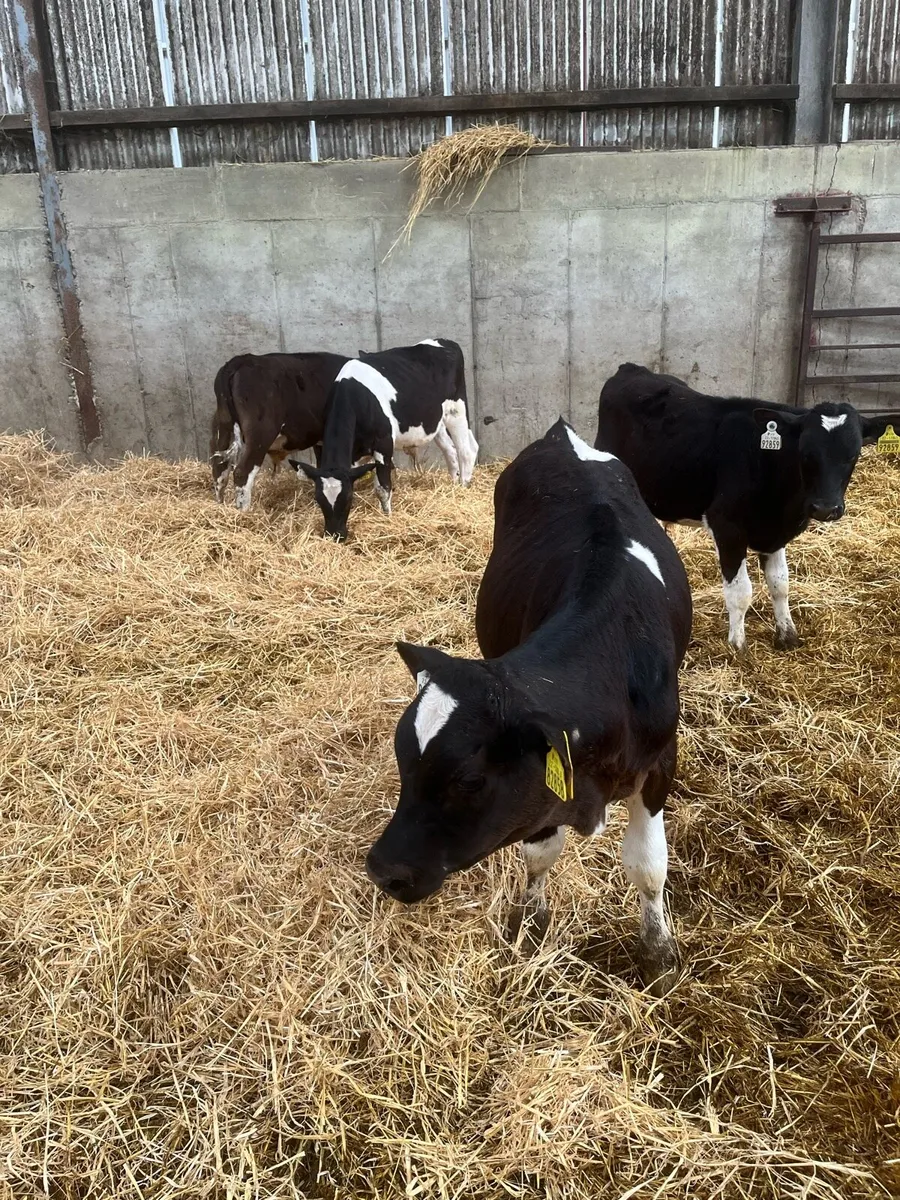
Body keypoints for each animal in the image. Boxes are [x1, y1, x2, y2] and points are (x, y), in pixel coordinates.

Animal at [210, 351, 347, 510]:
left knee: (219, 469)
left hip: (223, 428)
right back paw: (244, 511)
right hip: (260, 434)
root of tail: (240, 360)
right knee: (241, 472)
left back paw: (220, 505)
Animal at [294, 339, 478, 541]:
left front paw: (387, 518)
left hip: (456, 409)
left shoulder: (384, 443)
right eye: (318, 498)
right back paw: (453, 487)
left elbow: (383, 488)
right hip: (436, 420)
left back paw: (463, 487)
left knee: (466, 451)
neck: (356, 398)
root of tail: (444, 341)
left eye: (348, 498)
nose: (336, 535)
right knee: (450, 450)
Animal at [365, 418, 693, 996]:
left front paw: (658, 952)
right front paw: (532, 926)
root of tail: (562, 433)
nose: (385, 870)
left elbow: (648, 864)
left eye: (471, 780)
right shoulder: (544, 788)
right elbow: (540, 853)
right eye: (403, 763)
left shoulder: (660, 763)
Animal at [595, 362, 900, 651]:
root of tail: (631, 368)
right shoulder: (726, 526)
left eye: (854, 454)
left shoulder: (775, 532)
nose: (825, 508)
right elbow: (740, 591)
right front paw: (738, 645)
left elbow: (780, 584)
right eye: (805, 452)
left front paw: (787, 634)